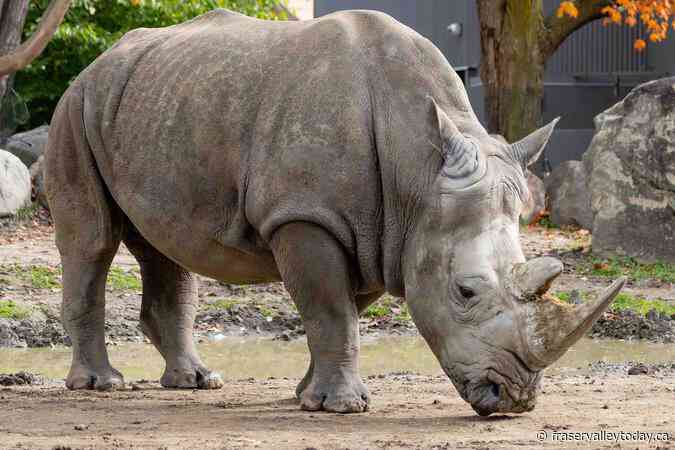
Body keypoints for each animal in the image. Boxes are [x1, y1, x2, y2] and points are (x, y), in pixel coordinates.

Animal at [44, 9, 625, 416]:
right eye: (465, 292)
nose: (514, 399)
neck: (418, 171)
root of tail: (101, 61)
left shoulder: (382, 232)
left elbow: (342, 309)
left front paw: (306, 395)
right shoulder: (306, 214)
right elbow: (329, 309)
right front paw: (341, 406)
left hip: (156, 105)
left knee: (167, 248)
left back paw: (196, 382)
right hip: (75, 109)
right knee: (92, 241)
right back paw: (100, 384)